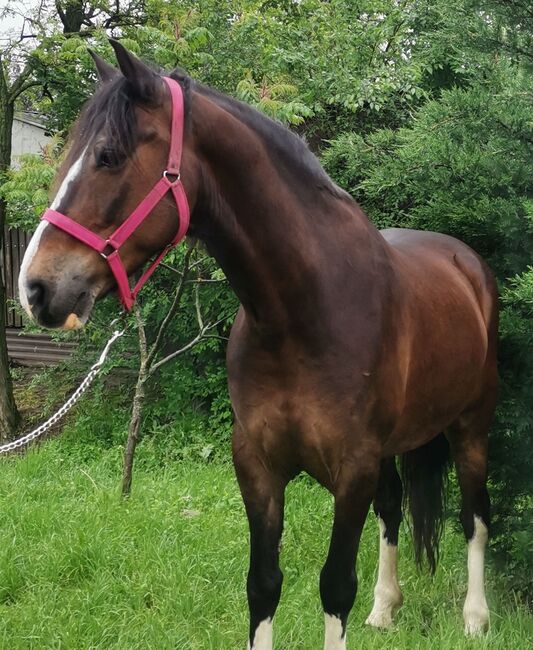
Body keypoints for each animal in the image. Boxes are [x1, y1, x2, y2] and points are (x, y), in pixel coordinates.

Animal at [17, 41, 498, 648]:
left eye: (108, 156)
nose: (34, 288)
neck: (303, 312)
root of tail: (466, 261)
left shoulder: (353, 468)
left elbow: (335, 586)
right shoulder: (258, 465)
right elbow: (263, 583)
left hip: (471, 428)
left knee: (475, 515)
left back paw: (476, 617)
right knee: (393, 510)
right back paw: (385, 608)